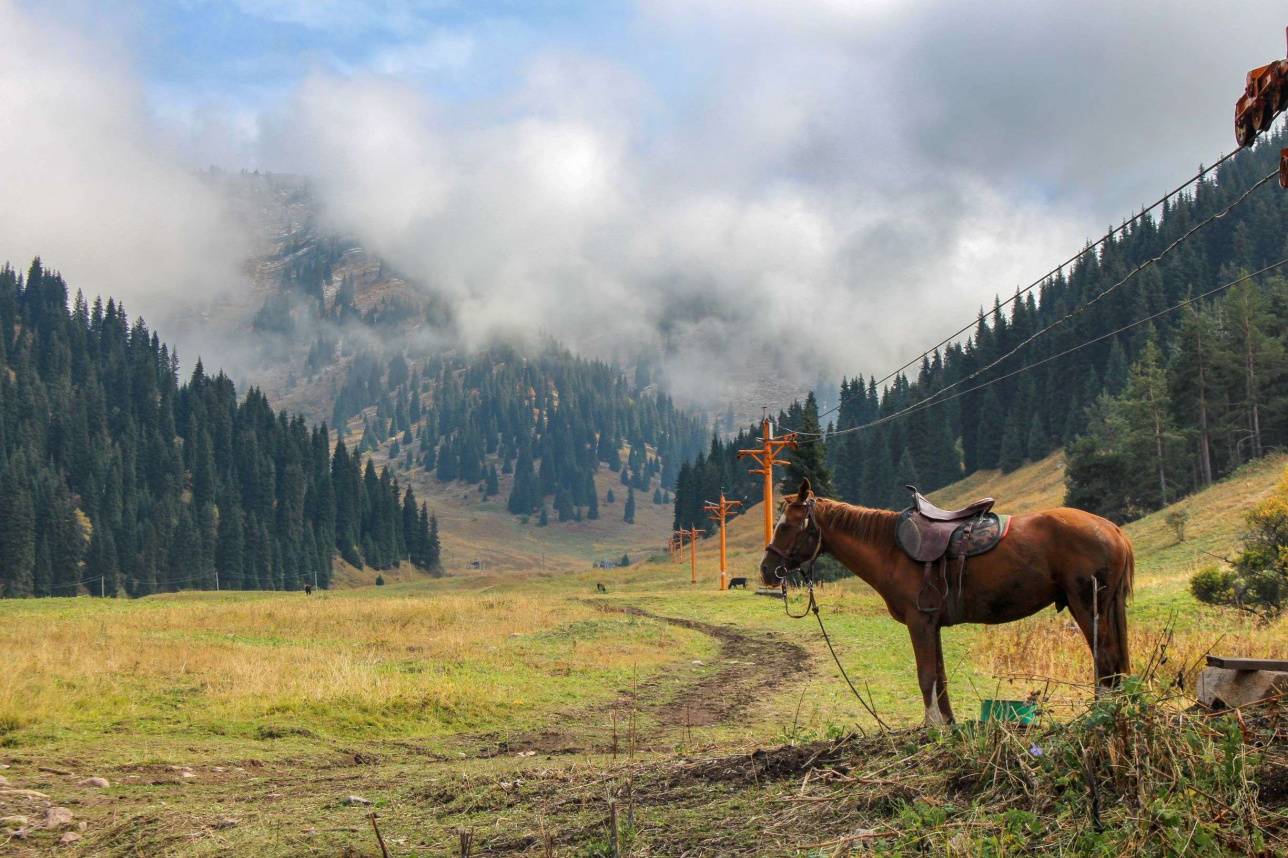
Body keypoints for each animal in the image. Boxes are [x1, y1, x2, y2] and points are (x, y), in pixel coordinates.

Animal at [757, 476, 1133, 726]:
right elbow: (940, 676)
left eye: (786, 526)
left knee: (1105, 659)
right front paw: (948, 724)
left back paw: (1100, 715)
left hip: (1087, 605)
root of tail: (1112, 529)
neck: (890, 549)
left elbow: (926, 675)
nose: (767, 569)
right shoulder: (931, 623)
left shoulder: (919, 621)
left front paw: (932, 726)